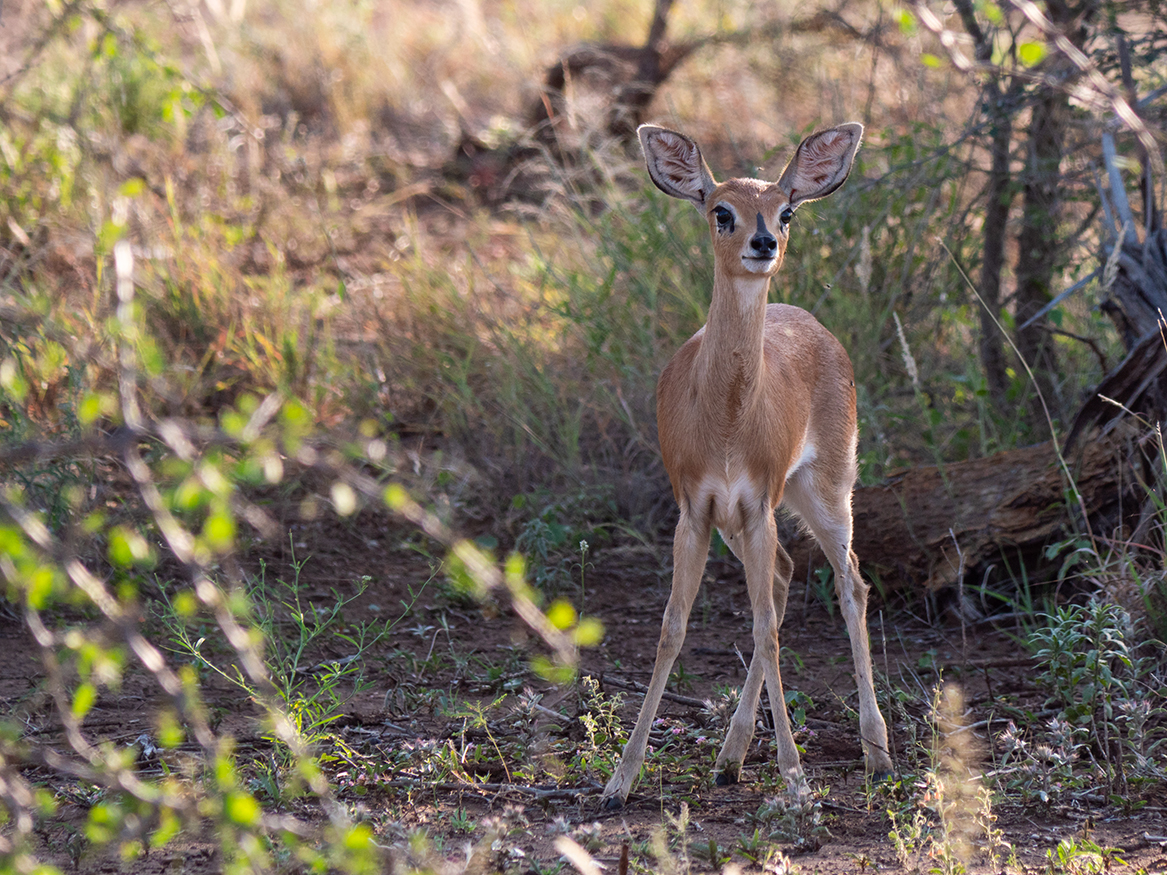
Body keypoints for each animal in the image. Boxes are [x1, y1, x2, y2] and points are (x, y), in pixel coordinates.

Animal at [602, 120, 891, 812]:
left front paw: (798, 781)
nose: (764, 242)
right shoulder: (695, 510)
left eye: (787, 211)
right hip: (747, 521)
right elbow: (673, 628)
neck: (729, 422)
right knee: (786, 577)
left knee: (850, 583)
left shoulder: (757, 504)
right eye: (720, 210)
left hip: (824, 489)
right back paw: (730, 759)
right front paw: (620, 780)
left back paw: (877, 753)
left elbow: (764, 630)